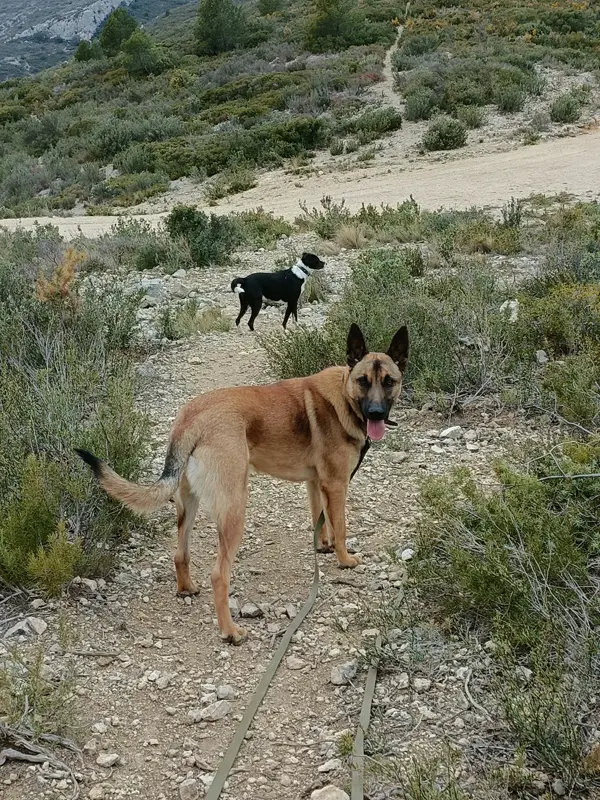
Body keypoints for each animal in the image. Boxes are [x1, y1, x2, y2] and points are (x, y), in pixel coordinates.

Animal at [77, 324, 408, 644]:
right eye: (363, 381)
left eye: (388, 381)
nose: (376, 413)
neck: (344, 394)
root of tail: (191, 418)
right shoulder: (336, 485)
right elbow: (340, 528)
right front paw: (344, 559)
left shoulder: (316, 484)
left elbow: (321, 519)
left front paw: (322, 546)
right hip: (235, 509)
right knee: (219, 575)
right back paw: (230, 632)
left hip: (189, 505)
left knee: (180, 554)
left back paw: (187, 589)